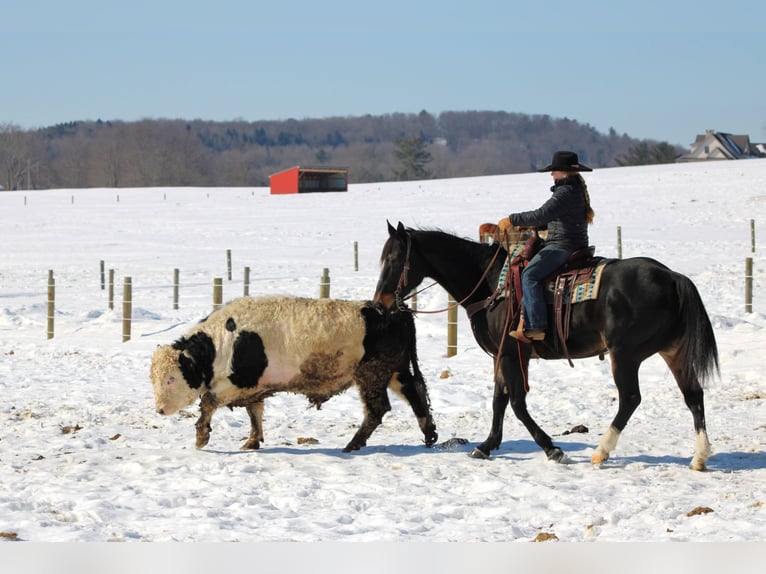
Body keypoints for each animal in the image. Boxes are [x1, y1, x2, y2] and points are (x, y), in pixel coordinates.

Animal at [374, 221, 719, 470]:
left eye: (394, 259)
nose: (380, 304)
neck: (490, 285)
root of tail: (672, 277)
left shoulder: (512, 354)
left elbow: (516, 403)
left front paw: (553, 449)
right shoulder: (502, 356)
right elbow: (499, 401)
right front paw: (485, 446)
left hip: (625, 355)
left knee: (630, 399)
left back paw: (601, 452)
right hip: (673, 352)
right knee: (693, 395)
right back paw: (699, 457)